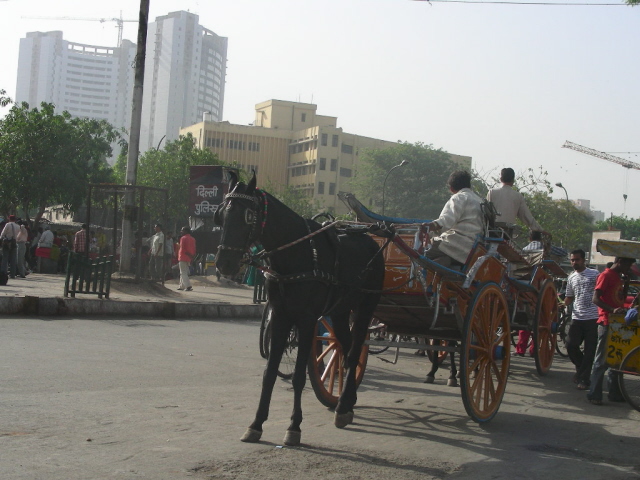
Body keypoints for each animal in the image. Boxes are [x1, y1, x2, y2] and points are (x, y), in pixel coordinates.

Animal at [215, 172, 384, 446]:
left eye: (248, 216)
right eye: (220, 215)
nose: (224, 263)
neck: (295, 254)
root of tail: (370, 239)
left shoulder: (306, 320)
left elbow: (297, 377)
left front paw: (294, 427)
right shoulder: (280, 315)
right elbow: (270, 372)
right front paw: (256, 424)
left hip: (366, 306)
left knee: (355, 349)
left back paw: (343, 405)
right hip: (339, 311)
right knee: (345, 349)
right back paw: (347, 402)